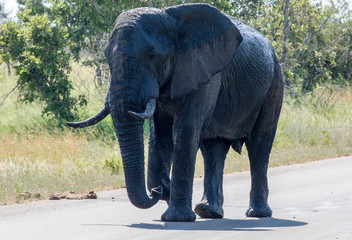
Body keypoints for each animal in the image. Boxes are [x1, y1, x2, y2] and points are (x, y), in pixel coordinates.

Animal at [67, 2, 284, 222]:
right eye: (106, 56)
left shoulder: (205, 72)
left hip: (275, 81)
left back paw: (257, 214)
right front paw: (163, 190)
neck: (171, 19)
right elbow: (159, 134)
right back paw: (208, 212)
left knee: (258, 145)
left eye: (153, 56)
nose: (157, 191)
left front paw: (175, 217)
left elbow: (185, 130)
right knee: (213, 149)